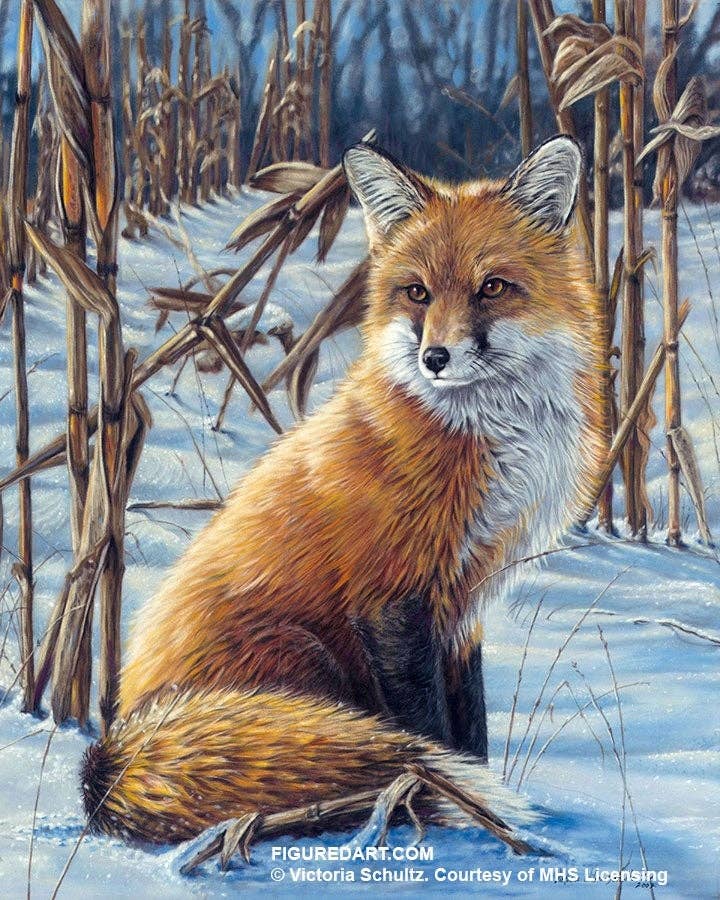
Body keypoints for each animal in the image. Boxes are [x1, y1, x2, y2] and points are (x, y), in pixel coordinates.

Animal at [81, 135, 605, 845]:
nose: (434, 358)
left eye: (492, 288)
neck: (483, 436)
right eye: (417, 293)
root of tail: (114, 748)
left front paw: (476, 800)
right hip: (306, 657)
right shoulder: (392, 599)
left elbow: (470, 728)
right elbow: (429, 730)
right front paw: (456, 807)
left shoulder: (464, 605)